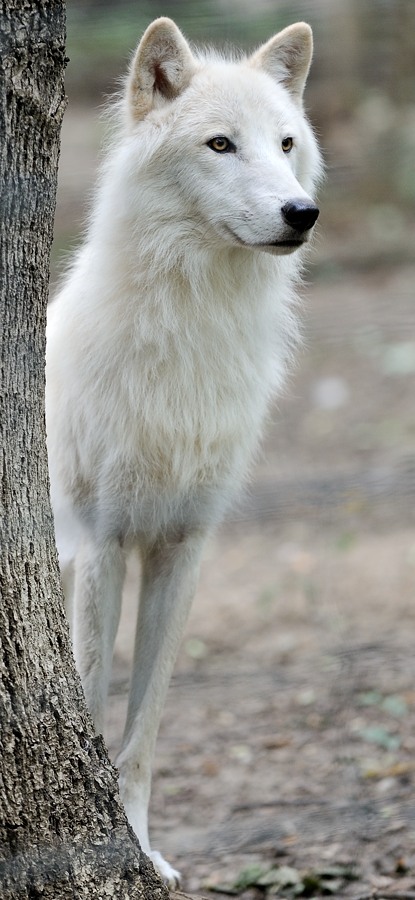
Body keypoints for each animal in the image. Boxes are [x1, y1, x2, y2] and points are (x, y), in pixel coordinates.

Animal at [46, 17, 322, 885]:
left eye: (285, 143)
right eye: (220, 145)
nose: (302, 212)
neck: (191, 327)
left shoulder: (183, 546)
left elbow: (143, 734)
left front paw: (142, 850)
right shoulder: (102, 546)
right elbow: (93, 709)